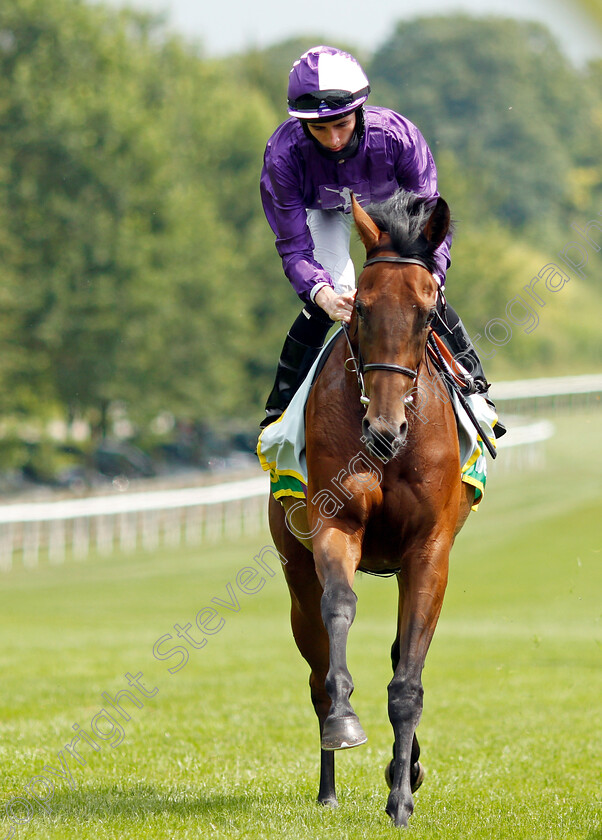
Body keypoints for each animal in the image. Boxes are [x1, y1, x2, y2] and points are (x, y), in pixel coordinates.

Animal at [268, 190, 474, 828]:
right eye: (360, 309)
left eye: (428, 314)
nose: (385, 431)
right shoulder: (335, 526)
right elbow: (340, 607)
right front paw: (344, 721)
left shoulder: (430, 550)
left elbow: (408, 678)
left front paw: (402, 796)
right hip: (294, 571)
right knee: (315, 667)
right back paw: (328, 786)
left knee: (403, 655)